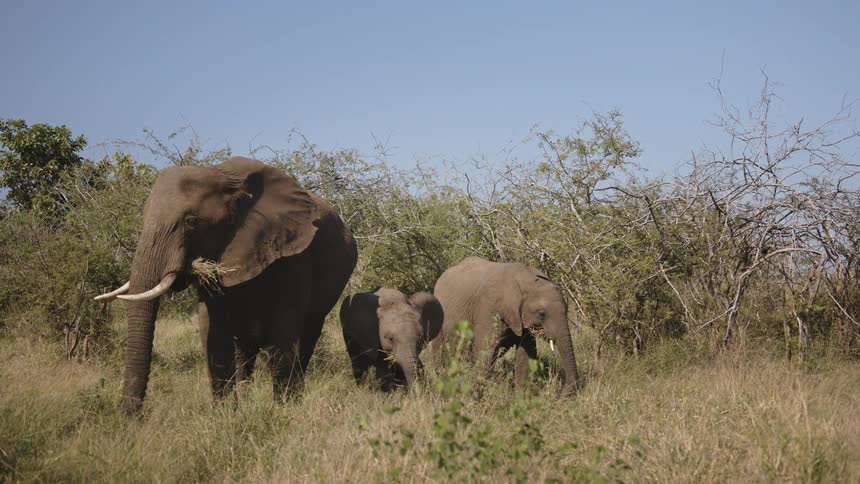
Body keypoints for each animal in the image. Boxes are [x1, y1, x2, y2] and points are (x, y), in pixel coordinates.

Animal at [95, 156, 357, 415]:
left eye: (191, 221)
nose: (131, 417)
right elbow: (213, 331)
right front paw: (224, 415)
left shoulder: (293, 253)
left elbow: (282, 335)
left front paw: (284, 410)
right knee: (243, 351)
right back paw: (245, 400)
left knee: (306, 338)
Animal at [431, 256, 580, 395]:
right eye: (541, 313)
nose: (560, 393)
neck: (525, 280)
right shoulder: (488, 308)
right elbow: (485, 352)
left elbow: (526, 355)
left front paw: (520, 397)